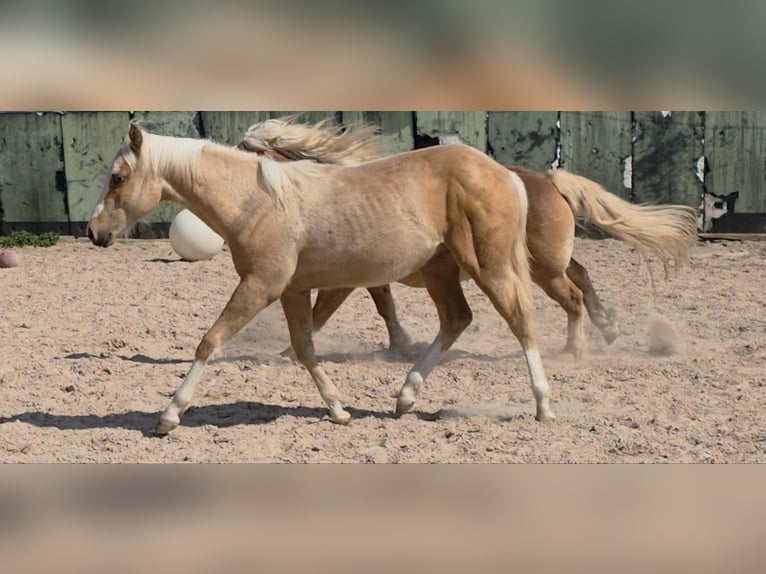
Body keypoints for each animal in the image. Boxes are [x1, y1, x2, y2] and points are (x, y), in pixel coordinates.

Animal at [87, 122, 554, 434]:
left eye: (119, 177)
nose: (94, 232)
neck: (256, 201)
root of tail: (504, 173)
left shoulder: (261, 285)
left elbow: (210, 341)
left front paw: (169, 415)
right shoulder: (292, 290)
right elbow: (304, 349)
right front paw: (339, 410)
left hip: (489, 266)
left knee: (521, 322)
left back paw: (543, 406)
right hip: (441, 270)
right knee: (457, 319)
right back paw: (405, 397)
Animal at [238, 117, 699, 359]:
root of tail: (549, 179)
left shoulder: (347, 278)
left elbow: (326, 310)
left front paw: (290, 351)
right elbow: (383, 304)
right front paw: (401, 345)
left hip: (543, 269)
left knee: (573, 295)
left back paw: (575, 348)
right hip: (551, 260)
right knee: (583, 280)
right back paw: (607, 328)